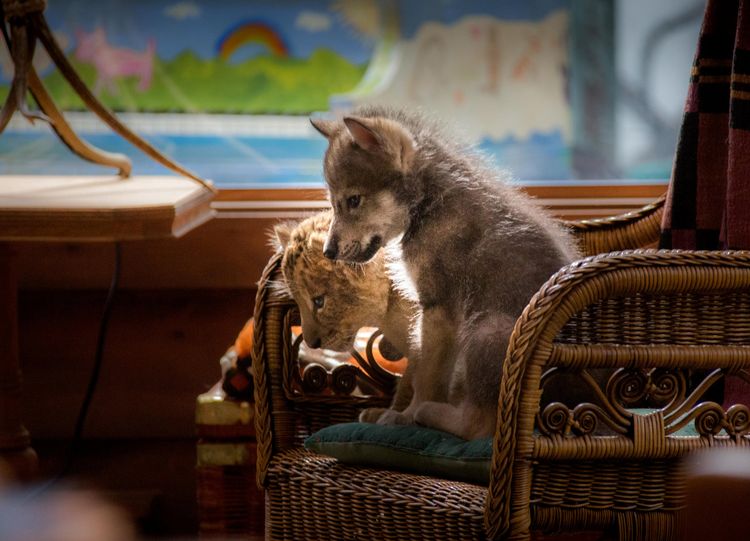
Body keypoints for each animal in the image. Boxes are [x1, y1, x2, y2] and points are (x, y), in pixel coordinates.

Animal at [310, 106, 580, 440]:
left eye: (354, 200)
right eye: (334, 203)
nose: (328, 252)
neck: (428, 205)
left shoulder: (438, 310)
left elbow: (427, 378)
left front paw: (405, 416)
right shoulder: (426, 315)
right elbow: (417, 369)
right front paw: (386, 413)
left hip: (486, 330)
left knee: (479, 426)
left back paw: (430, 414)